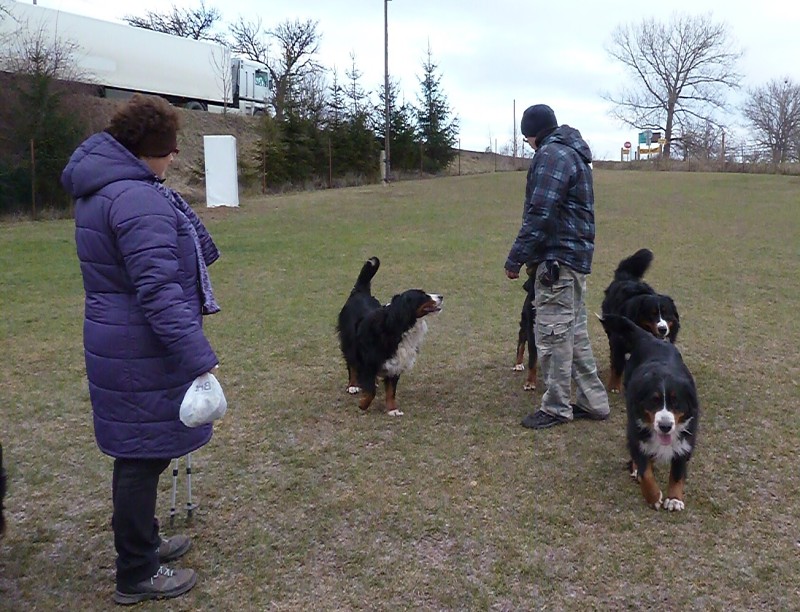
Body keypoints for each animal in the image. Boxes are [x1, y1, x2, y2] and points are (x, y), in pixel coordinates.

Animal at [334, 256, 440, 418]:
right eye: (423, 296)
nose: (441, 296)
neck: (398, 326)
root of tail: (359, 292)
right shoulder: (369, 360)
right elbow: (371, 392)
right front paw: (363, 404)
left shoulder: (395, 363)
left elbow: (391, 392)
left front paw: (392, 409)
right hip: (350, 342)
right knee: (351, 364)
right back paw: (353, 385)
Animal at [596, 316, 696, 512]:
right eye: (654, 401)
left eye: (676, 402)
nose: (665, 426)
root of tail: (650, 338)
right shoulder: (637, 429)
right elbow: (645, 470)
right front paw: (653, 496)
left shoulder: (686, 439)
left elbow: (678, 472)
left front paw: (674, 498)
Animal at [600, 247, 680, 392]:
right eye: (652, 314)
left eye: (667, 314)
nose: (662, 329)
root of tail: (626, 277)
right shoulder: (617, 341)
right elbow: (617, 363)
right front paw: (614, 385)